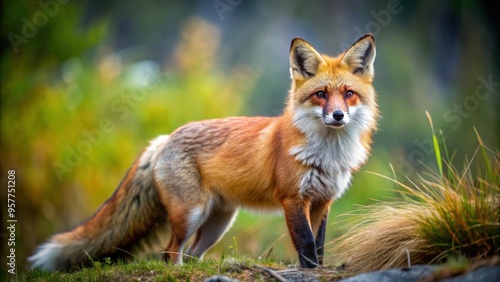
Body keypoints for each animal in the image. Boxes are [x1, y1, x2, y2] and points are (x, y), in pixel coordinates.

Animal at [28, 34, 378, 270]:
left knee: (192, 254)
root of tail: (165, 138)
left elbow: (318, 246)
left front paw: (318, 270)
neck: (327, 154)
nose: (338, 116)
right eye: (321, 95)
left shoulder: (322, 201)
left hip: (217, 224)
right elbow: (305, 244)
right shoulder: (293, 199)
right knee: (169, 252)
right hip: (190, 214)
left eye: (348, 94)